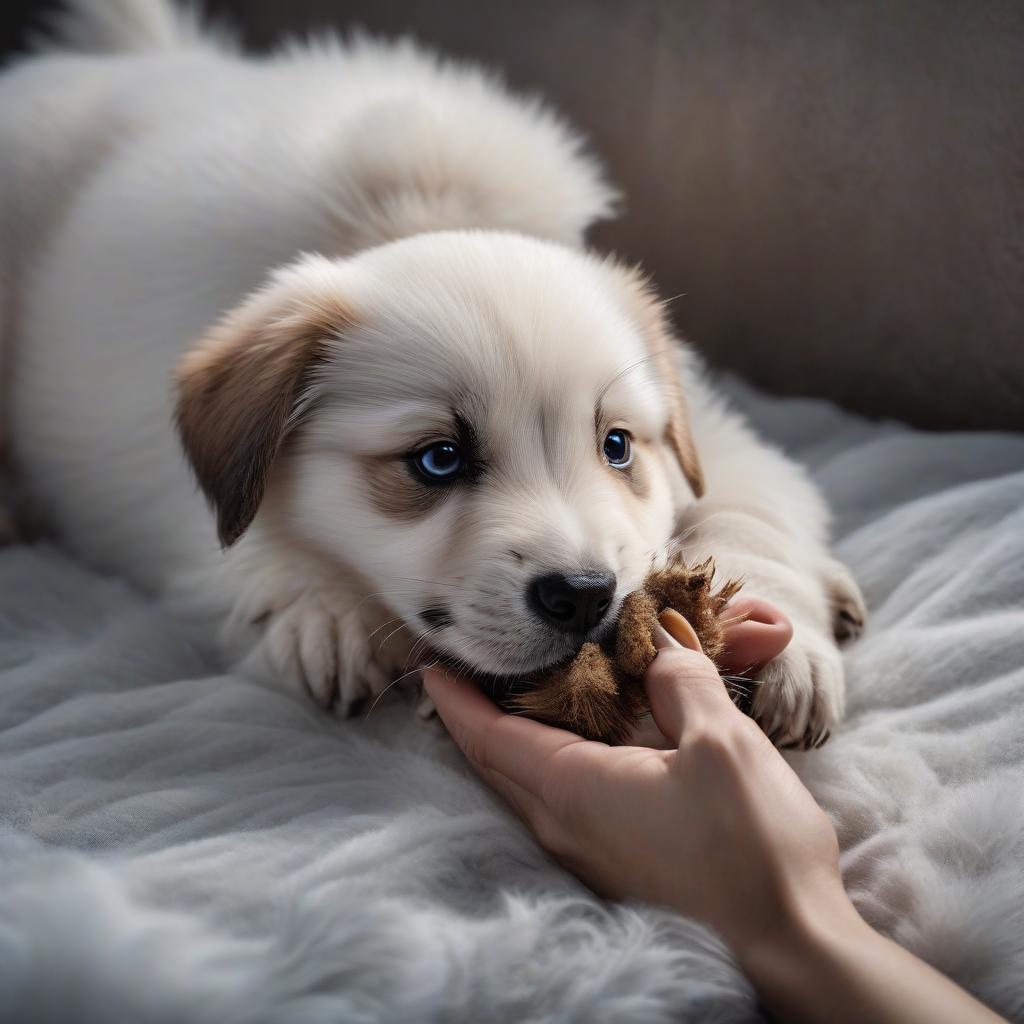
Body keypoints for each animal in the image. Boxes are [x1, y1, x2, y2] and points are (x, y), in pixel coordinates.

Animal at [0, 2, 864, 753]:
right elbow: (251, 547)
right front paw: (325, 611)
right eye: (438, 460)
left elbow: (751, 509)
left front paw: (785, 646)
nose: (587, 594)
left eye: (618, 446)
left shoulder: (713, 433)